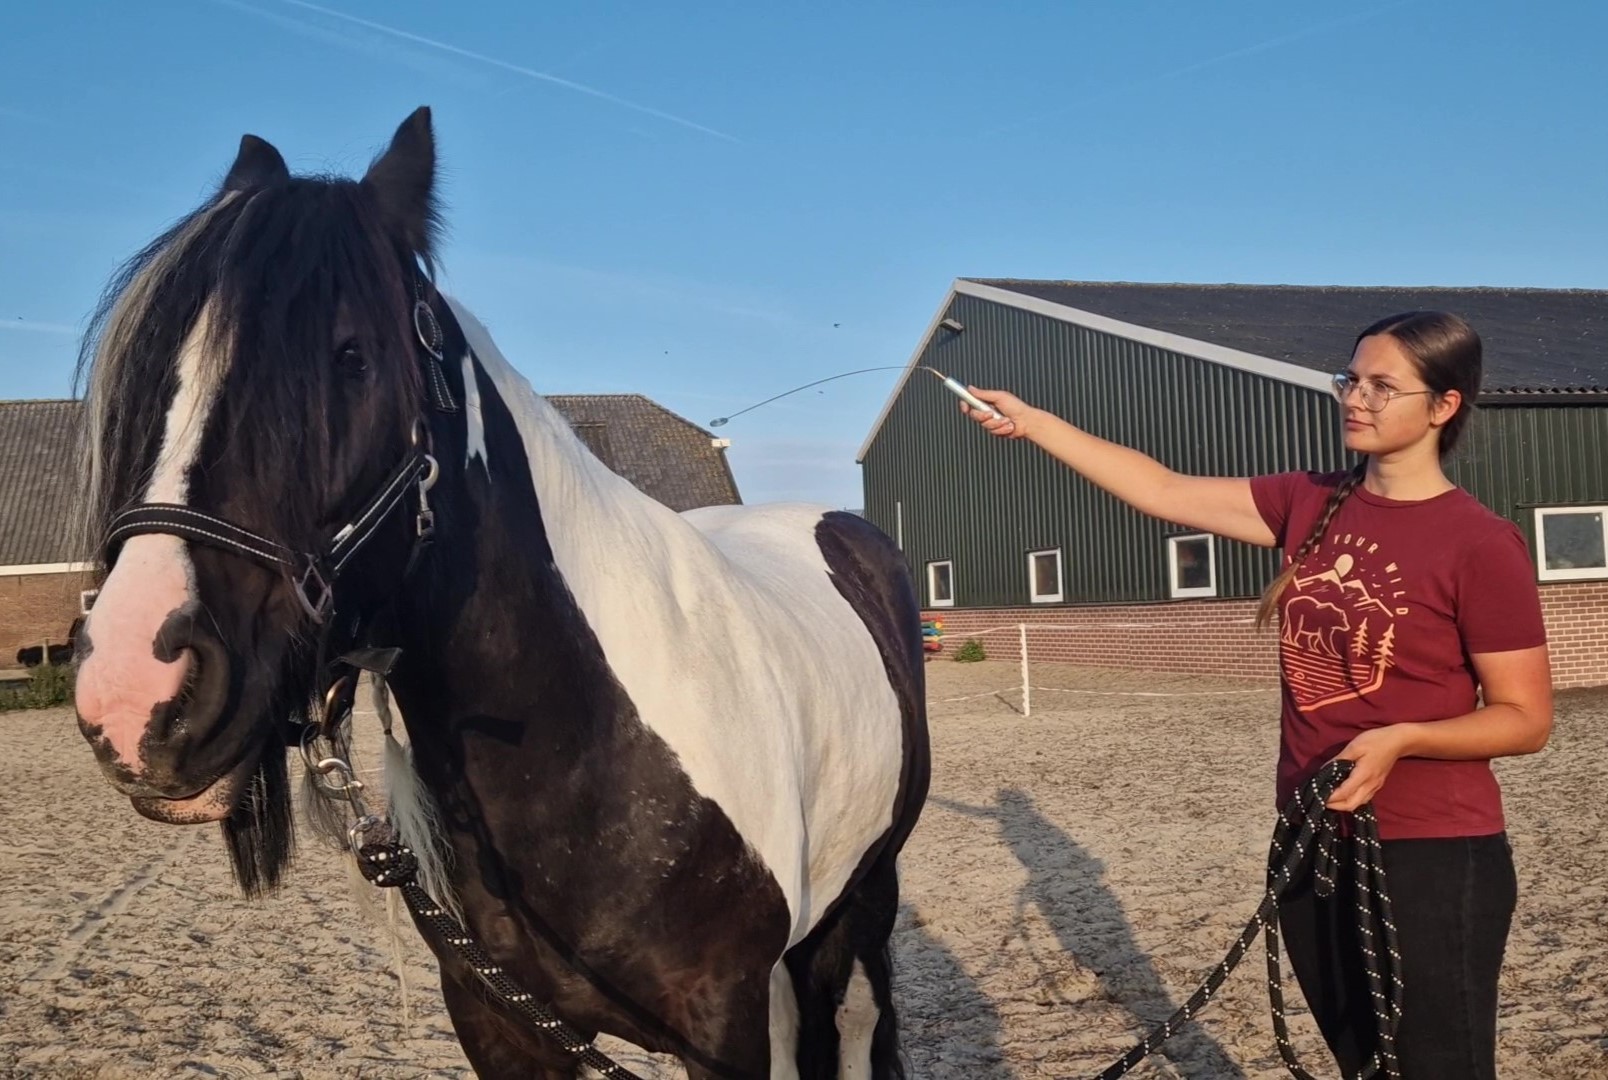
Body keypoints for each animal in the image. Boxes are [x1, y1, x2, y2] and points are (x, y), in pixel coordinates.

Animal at [69, 107, 931, 1080]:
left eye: (352, 356)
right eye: (155, 374)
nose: (132, 691)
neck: (589, 747)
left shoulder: (722, 1025)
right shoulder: (502, 1021)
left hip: (860, 905)